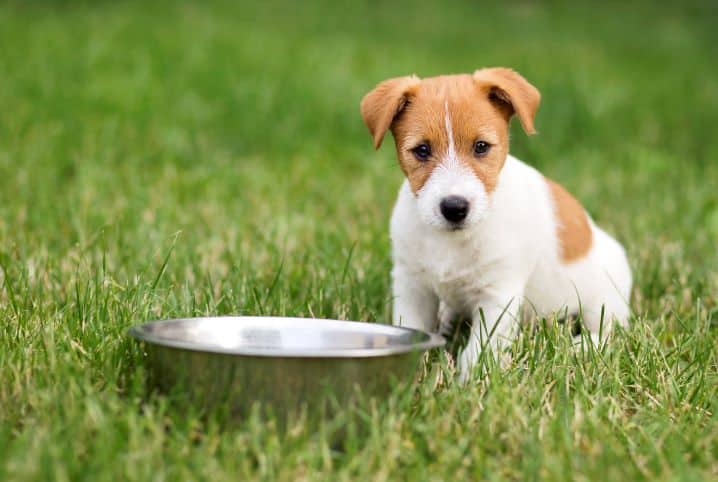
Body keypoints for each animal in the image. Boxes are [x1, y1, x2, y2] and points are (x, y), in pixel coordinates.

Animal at [362, 68, 632, 384]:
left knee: (609, 332)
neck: (453, 241)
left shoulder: (497, 295)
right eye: (422, 150)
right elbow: (413, 329)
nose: (454, 207)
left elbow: (479, 349)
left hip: (604, 300)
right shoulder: (412, 285)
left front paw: (469, 384)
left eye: (481, 147)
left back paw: (579, 346)